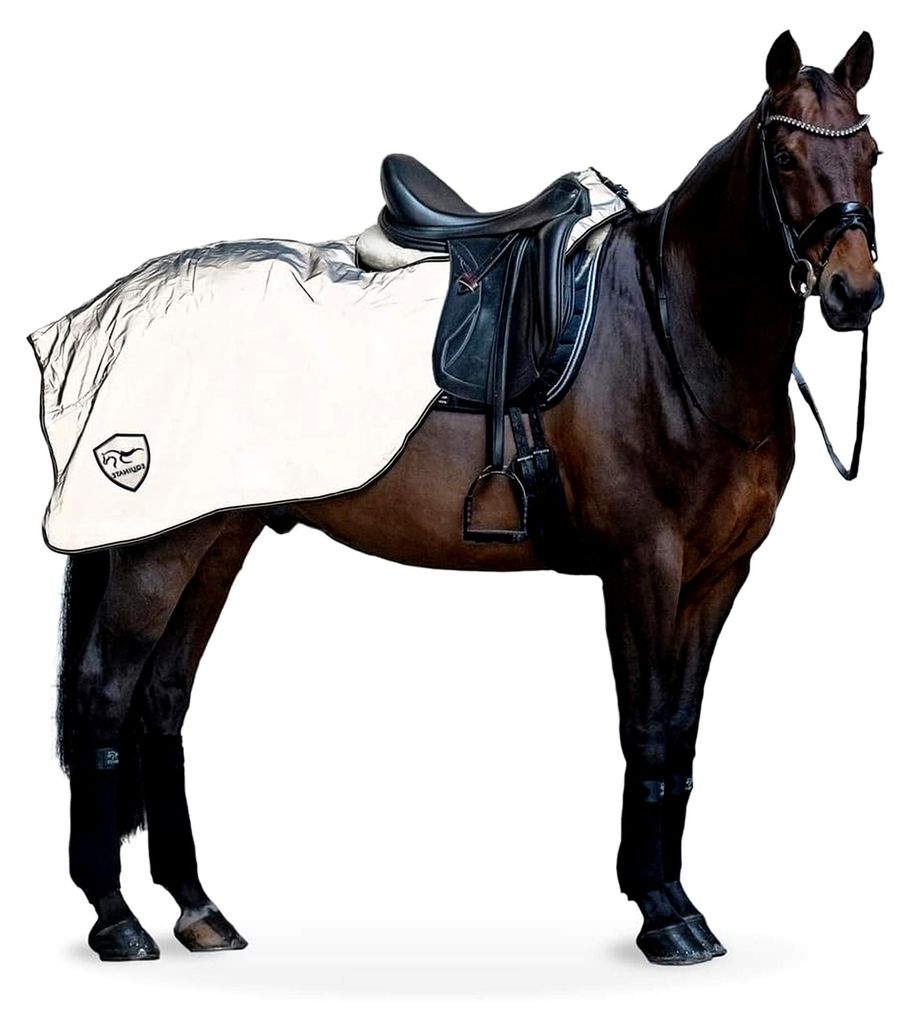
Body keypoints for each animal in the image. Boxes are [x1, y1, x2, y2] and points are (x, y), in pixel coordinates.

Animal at [48, 30, 883, 965]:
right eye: (784, 157)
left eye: (872, 155)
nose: (855, 293)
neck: (676, 336)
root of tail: (118, 304)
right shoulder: (642, 569)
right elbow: (645, 731)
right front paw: (662, 913)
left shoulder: (716, 578)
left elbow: (681, 736)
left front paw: (674, 901)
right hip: (157, 546)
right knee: (105, 696)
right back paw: (115, 918)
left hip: (216, 535)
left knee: (163, 700)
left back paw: (197, 906)